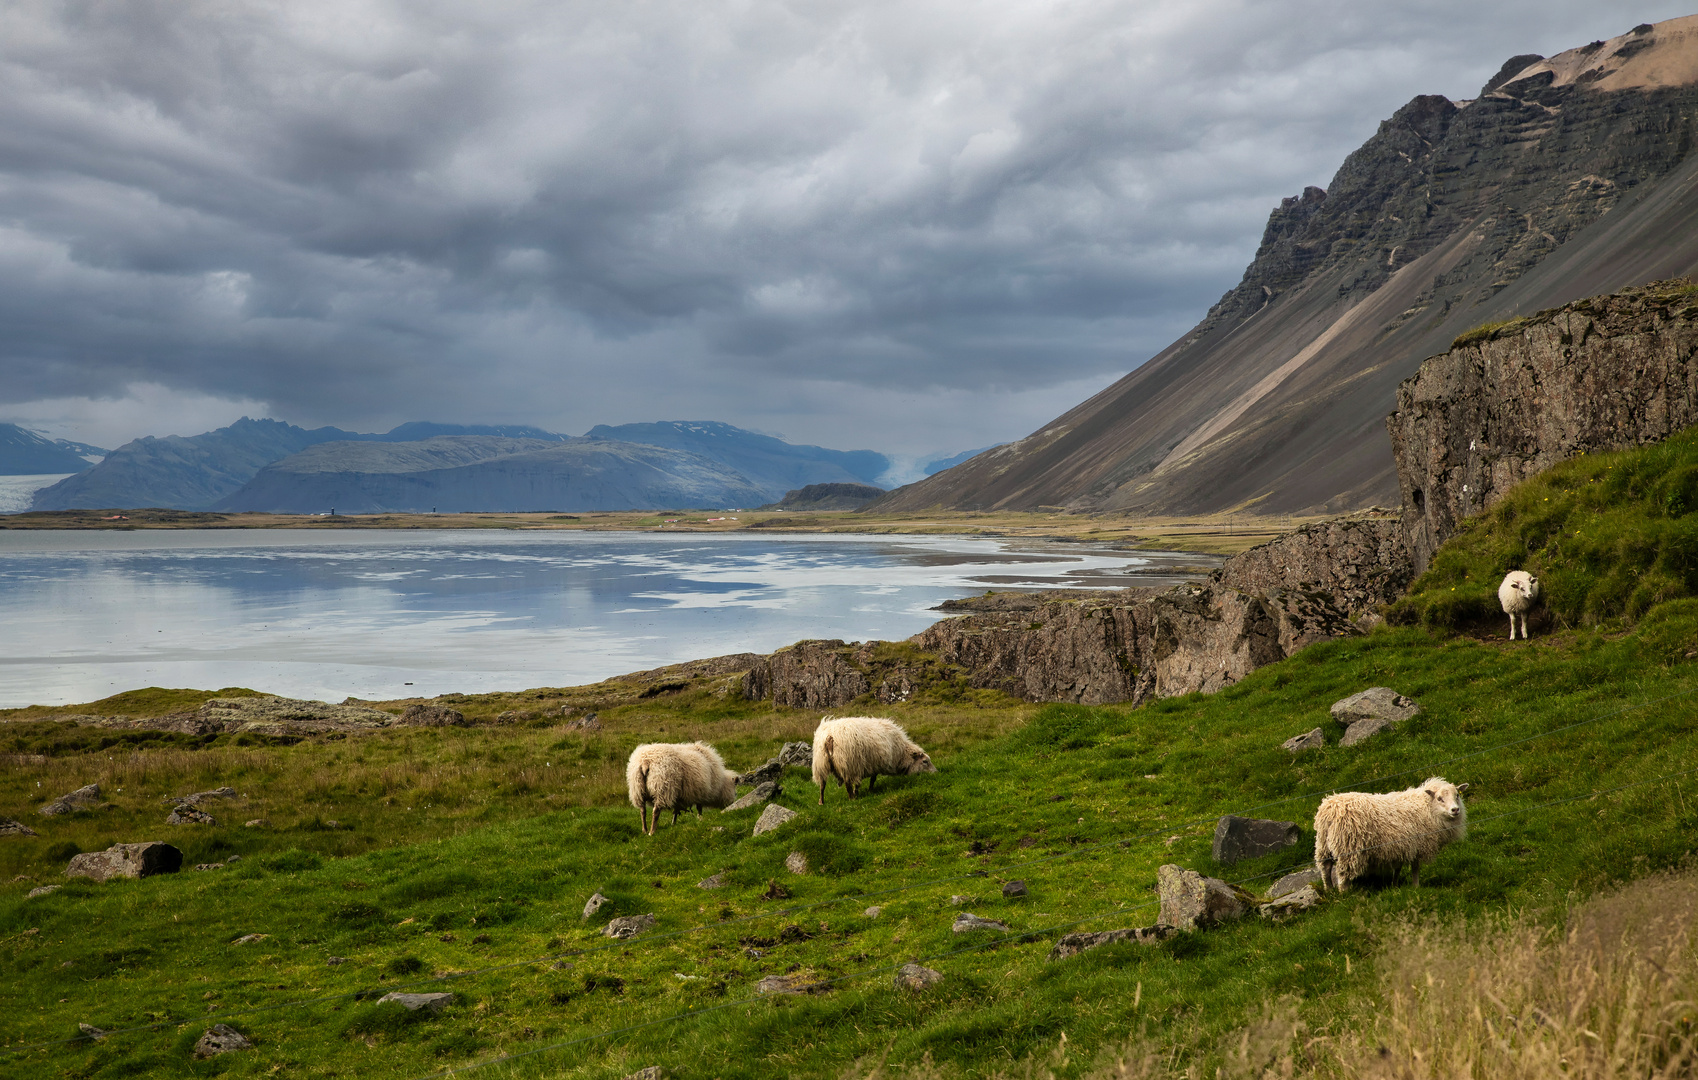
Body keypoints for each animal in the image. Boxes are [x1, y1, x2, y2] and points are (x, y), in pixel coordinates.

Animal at [1317, 777, 1467, 896]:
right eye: (1440, 798)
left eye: (1457, 796)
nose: (1455, 810)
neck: (1427, 808)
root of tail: (1330, 810)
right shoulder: (1418, 844)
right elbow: (1415, 868)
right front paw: (1416, 887)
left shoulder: (1399, 847)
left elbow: (1398, 868)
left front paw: (1394, 886)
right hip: (1348, 847)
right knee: (1342, 874)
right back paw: (1345, 894)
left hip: (1323, 844)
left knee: (1325, 868)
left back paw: (1329, 890)